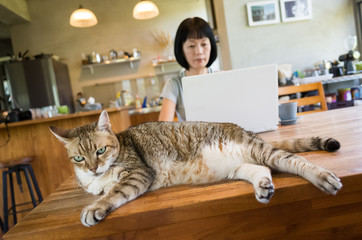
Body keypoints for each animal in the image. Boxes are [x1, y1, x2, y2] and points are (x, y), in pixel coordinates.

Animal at [48, 110, 342, 227]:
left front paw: (94, 209)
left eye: (100, 151)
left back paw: (324, 177)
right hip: (241, 165)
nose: (93, 168)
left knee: (296, 162)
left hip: (262, 151)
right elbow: (103, 189)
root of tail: (247, 131)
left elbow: (113, 192)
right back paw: (263, 187)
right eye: (78, 158)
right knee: (262, 170)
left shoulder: (139, 173)